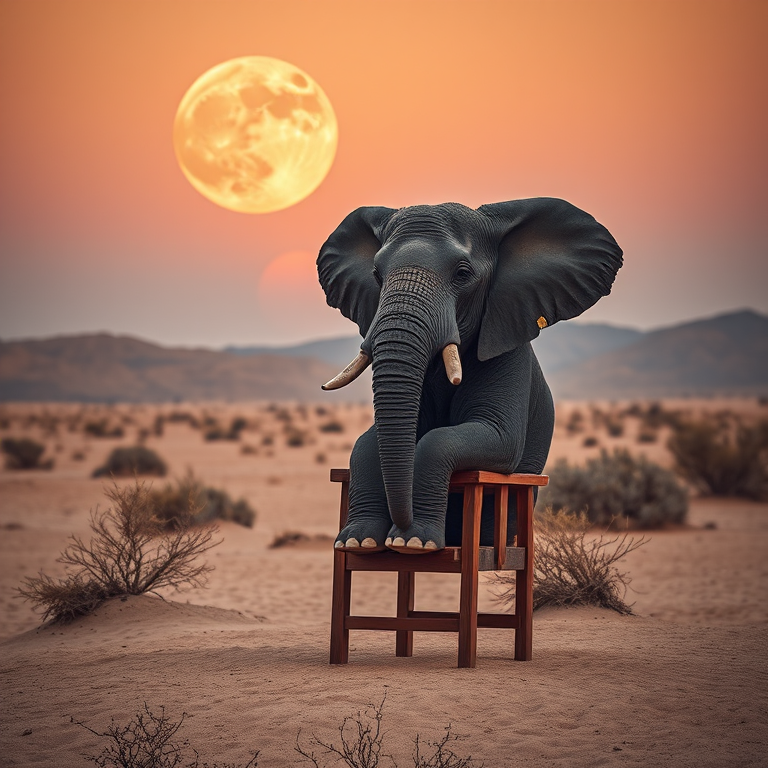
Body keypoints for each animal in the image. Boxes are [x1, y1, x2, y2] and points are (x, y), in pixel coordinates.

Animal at [317, 197, 623, 553]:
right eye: (377, 275)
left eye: (462, 274)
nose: (399, 525)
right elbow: (367, 442)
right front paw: (358, 541)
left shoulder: (508, 354)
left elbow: (489, 438)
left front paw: (412, 543)